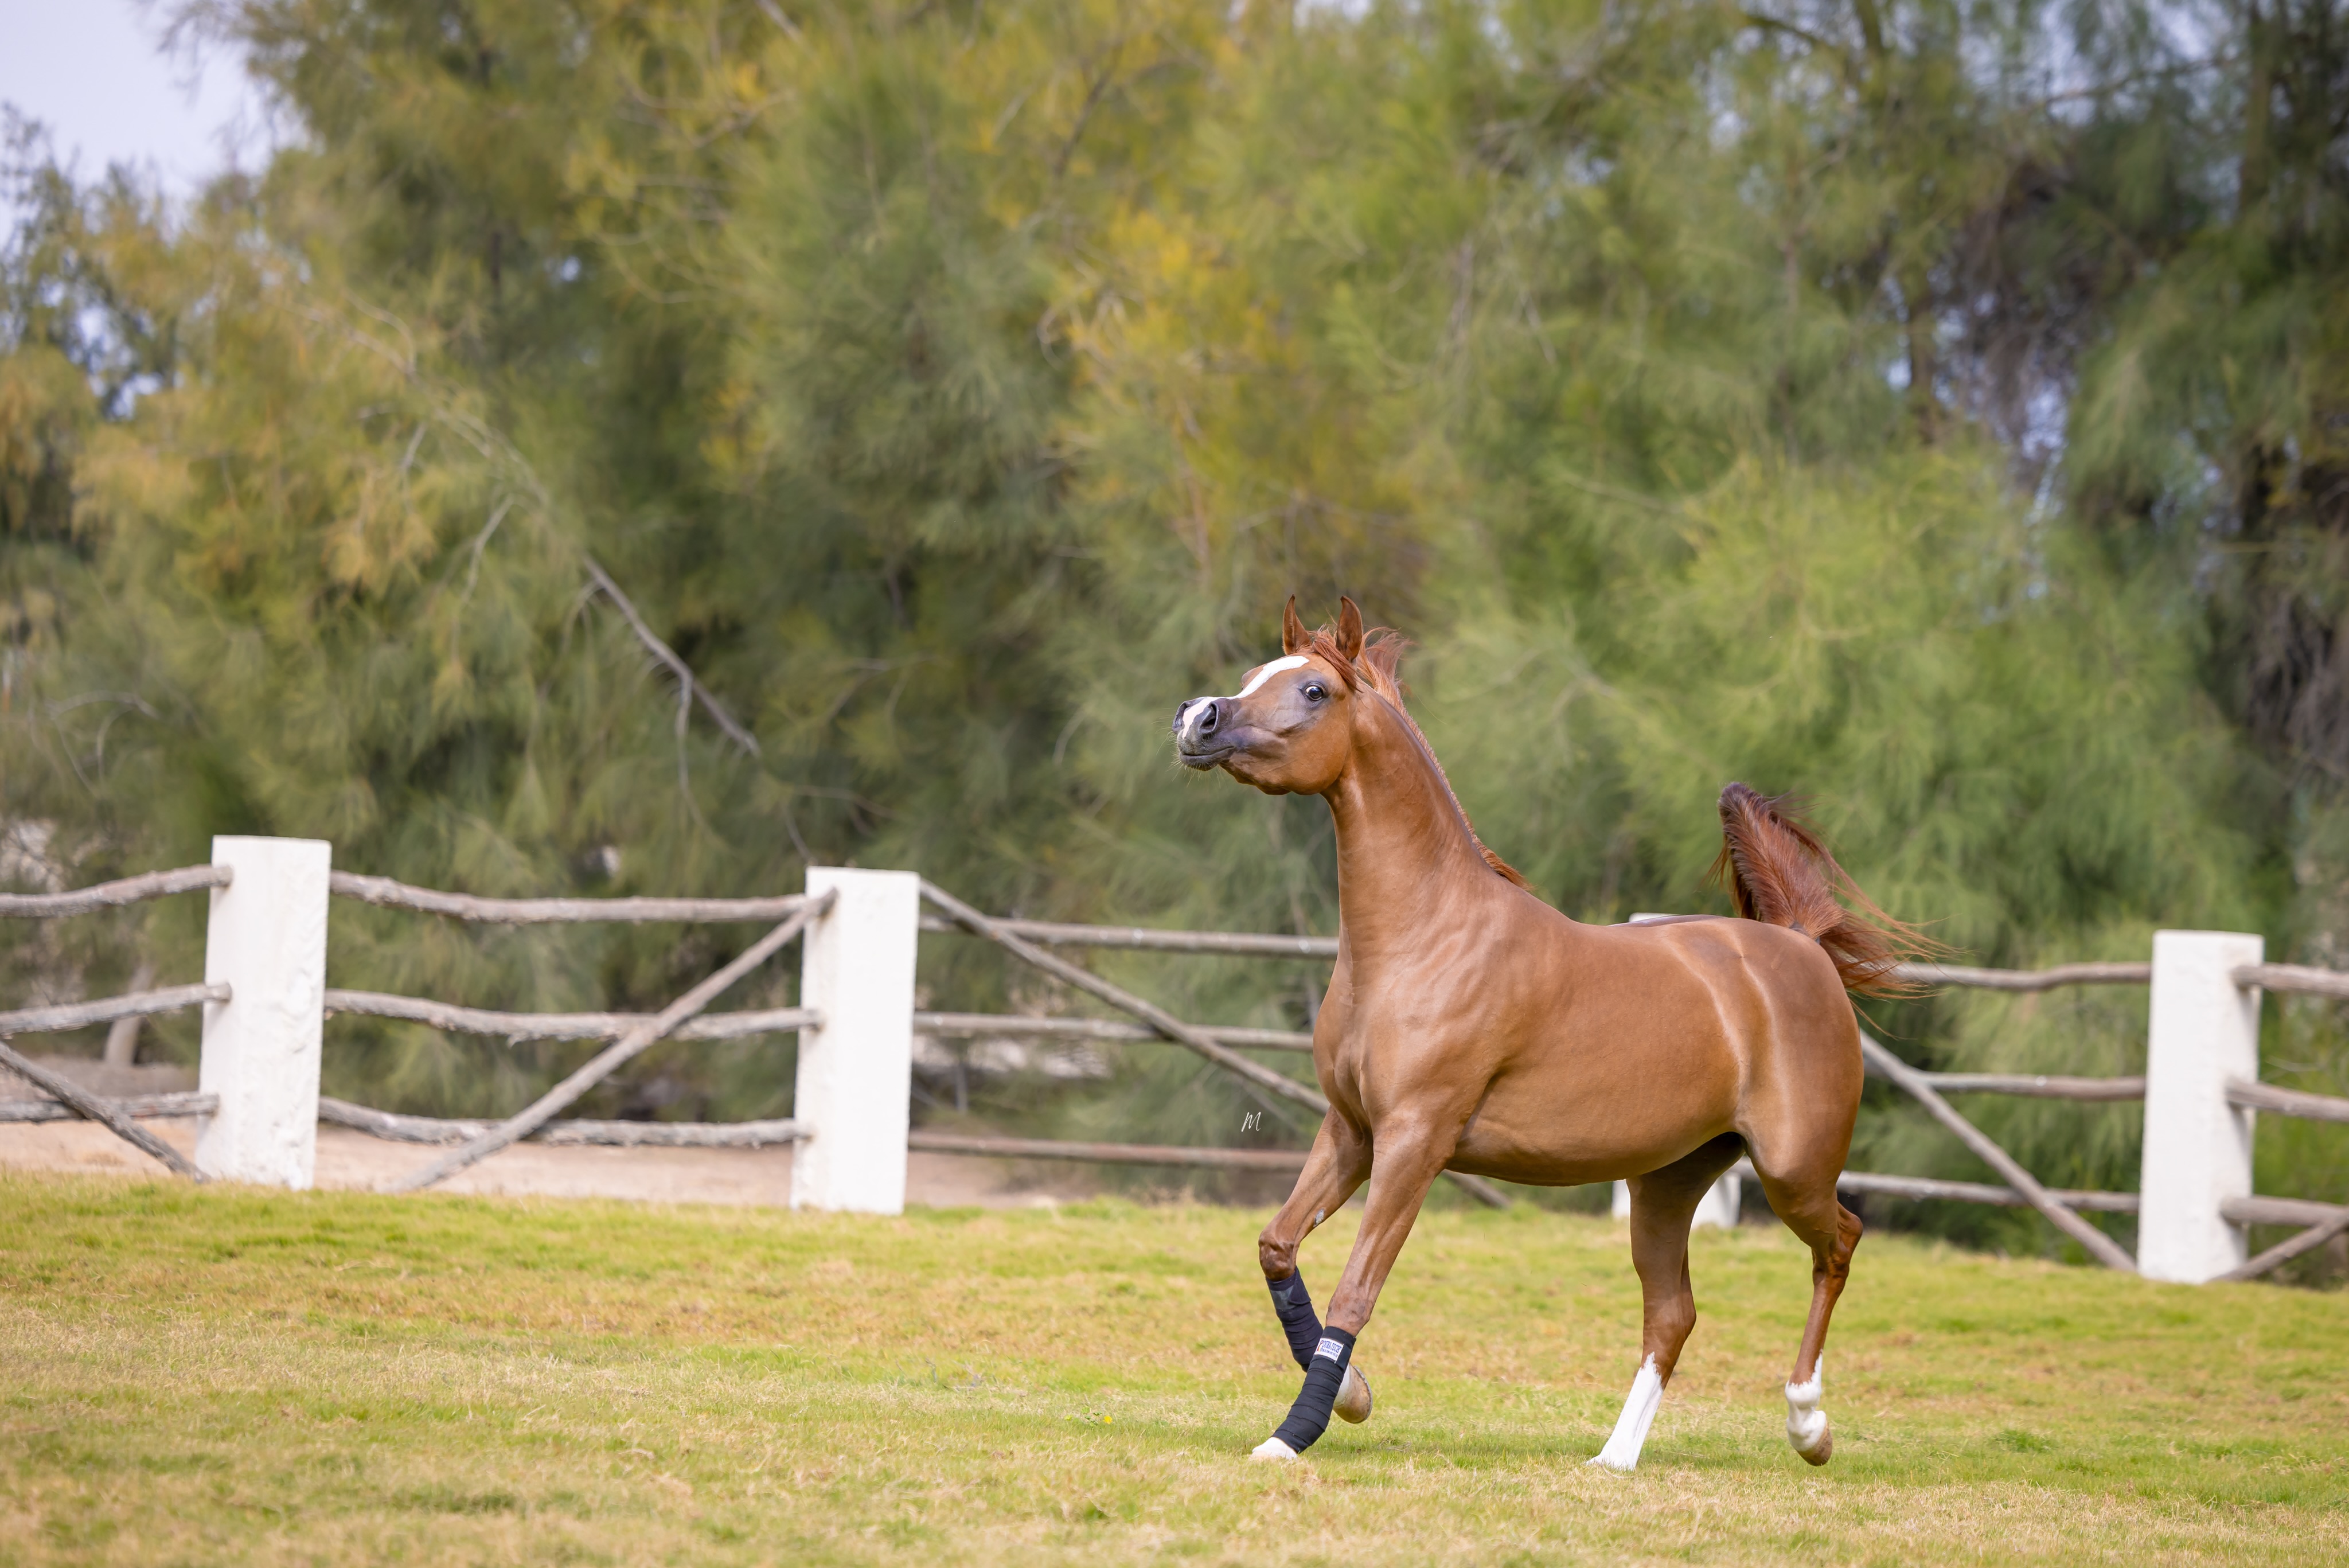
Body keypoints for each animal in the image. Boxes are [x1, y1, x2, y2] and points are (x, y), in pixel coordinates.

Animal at [1171, 596, 1927, 1470]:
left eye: (1314, 689)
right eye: (1254, 673)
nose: (1197, 718)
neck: (1424, 935)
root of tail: (1800, 946)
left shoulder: (1415, 1142)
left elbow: (1355, 1288)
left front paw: (1293, 1435)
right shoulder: (1353, 1130)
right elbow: (1277, 1246)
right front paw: (1355, 1396)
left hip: (1793, 1169)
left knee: (1838, 1244)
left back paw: (1808, 1423)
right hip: (1667, 1184)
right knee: (1673, 1312)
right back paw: (1615, 1459)